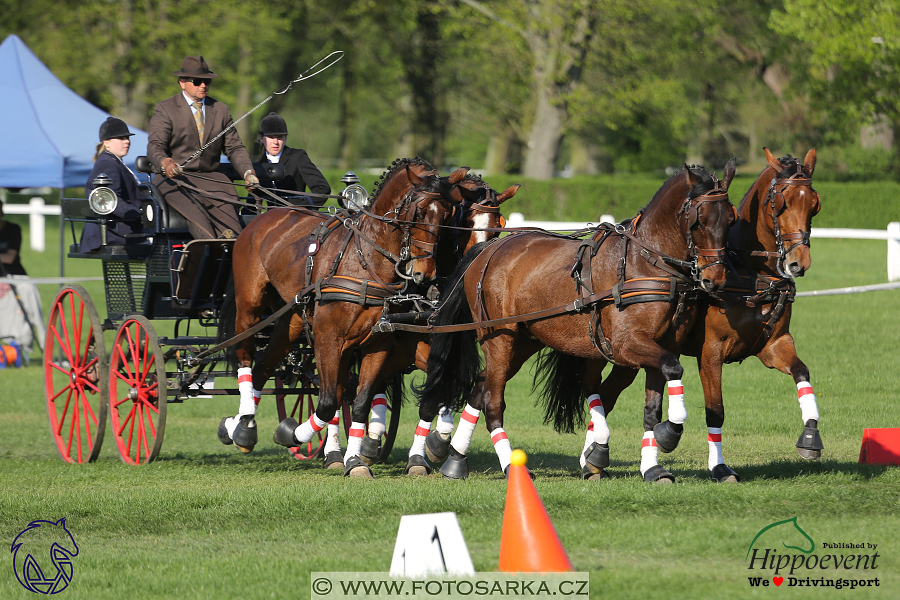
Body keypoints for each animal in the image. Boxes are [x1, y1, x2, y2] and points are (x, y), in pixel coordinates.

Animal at [221, 157, 464, 476]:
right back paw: (239, 424)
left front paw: (354, 461)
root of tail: (265, 214)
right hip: (250, 305)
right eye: (420, 212)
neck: (365, 261)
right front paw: (291, 433)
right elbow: (326, 403)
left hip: (294, 319)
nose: (426, 274)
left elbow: (359, 402)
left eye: (448, 213)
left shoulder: (378, 343)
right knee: (245, 355)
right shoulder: (329, 338)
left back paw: (244, 427)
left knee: (264, 366)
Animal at [414, 164, 740, 482]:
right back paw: (508, 465)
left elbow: (652, 406)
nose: (716, 279)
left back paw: (455, 459)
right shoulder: (627, 345)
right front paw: (670, 433)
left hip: (522, 341)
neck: (645, 262)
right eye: (699, 221)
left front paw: (653, 467)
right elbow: (673, 368)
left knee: (481, 387)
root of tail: (490, 249)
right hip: (499, 339)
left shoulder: (660, 347)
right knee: (493, 402)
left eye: (730, 220)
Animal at [596, 148, 820, 480]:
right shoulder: (711, 351)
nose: (798, 263)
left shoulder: (774, 345)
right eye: (781, 203)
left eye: (814, 204)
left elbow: (802, 372)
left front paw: (810, 435)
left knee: (607, 393)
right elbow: (716, 410)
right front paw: (718, 466)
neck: (750, 273)